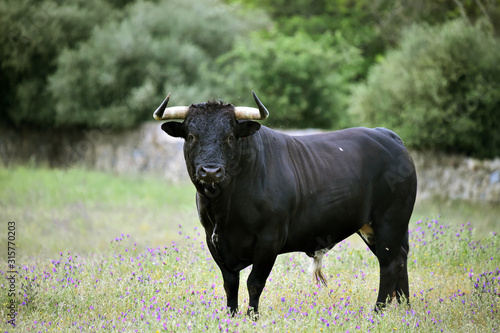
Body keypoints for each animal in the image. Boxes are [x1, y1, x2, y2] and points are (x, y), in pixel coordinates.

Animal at [158, 97, 416, 316]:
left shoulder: (269, 239)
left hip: (390, 221)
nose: (210, 171)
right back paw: (405, 308)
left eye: (230, 136)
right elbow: (230, 284)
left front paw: (252, 316)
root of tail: (386, 135)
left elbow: (254, 283)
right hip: (373, 228)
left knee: (390, 264)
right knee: (400, 259)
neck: (225, 209)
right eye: (192, 136)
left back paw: (378, 312)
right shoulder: (214, 239)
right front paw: (231, 316)